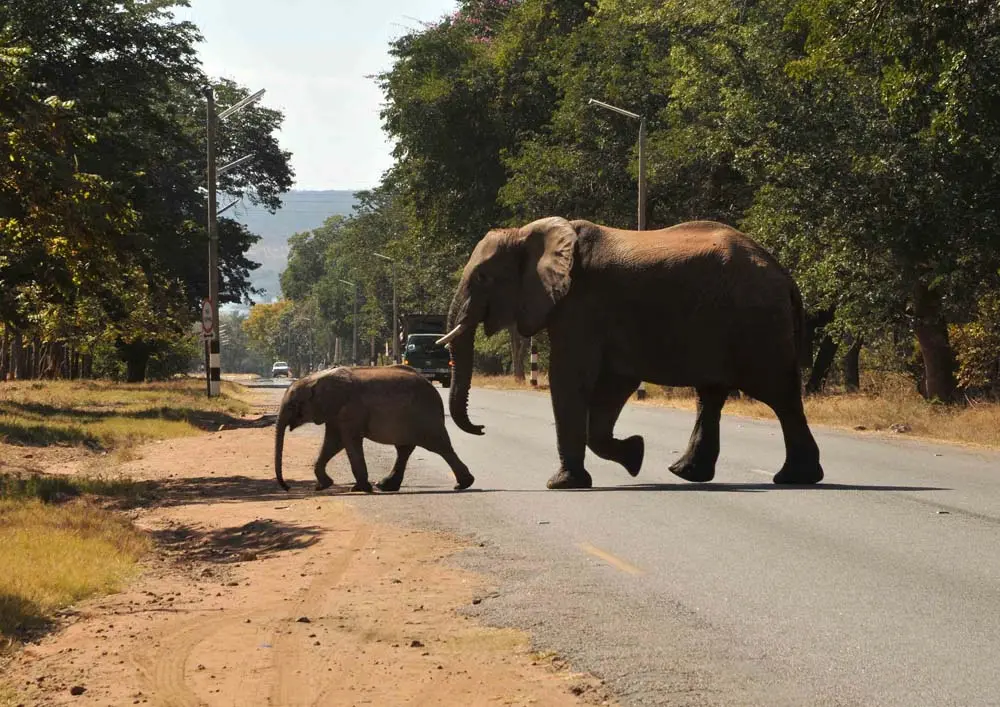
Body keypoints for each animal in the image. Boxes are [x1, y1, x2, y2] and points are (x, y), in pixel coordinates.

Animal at [274, 365, 475, 493]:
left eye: (292, 405)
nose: (287, 487)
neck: (315, 379)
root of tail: (434, 390)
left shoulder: (350, 410)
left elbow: (349, 441)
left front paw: (360, 488)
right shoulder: (334, 413)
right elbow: (333, 442)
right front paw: (323, 486)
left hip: (425, 415)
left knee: (440, 446)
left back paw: (463, 485)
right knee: (405, 449)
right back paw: (385, 486)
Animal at [438, 216, 823, 490]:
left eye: (482, 278)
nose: (482, 428)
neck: (527, 233)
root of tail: (786, 277)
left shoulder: (581, 306)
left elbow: (570, 379)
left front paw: (561, 484)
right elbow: (611, 387)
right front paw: (635, 455)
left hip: (757, 324)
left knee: (779, 395)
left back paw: (794, 478)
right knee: (712, 396)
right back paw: (686, 473)